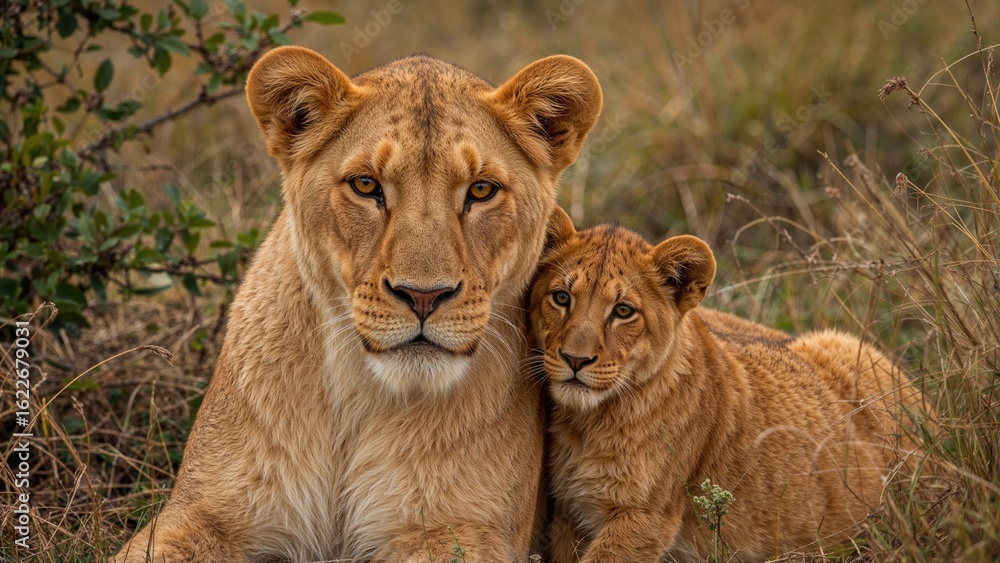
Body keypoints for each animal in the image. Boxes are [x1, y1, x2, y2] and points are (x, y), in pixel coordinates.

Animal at [112, 48, 602, 562]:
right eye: (366, 185)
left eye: (482, 189)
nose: (423, 296)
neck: (358, 396)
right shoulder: (200, 513)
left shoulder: (464, 532)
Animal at [529, 208, 932, 563]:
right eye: (561, 297)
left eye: (623, 311)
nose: (575, 360)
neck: (586, 423)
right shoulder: (570, 514)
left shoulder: (645, 517)